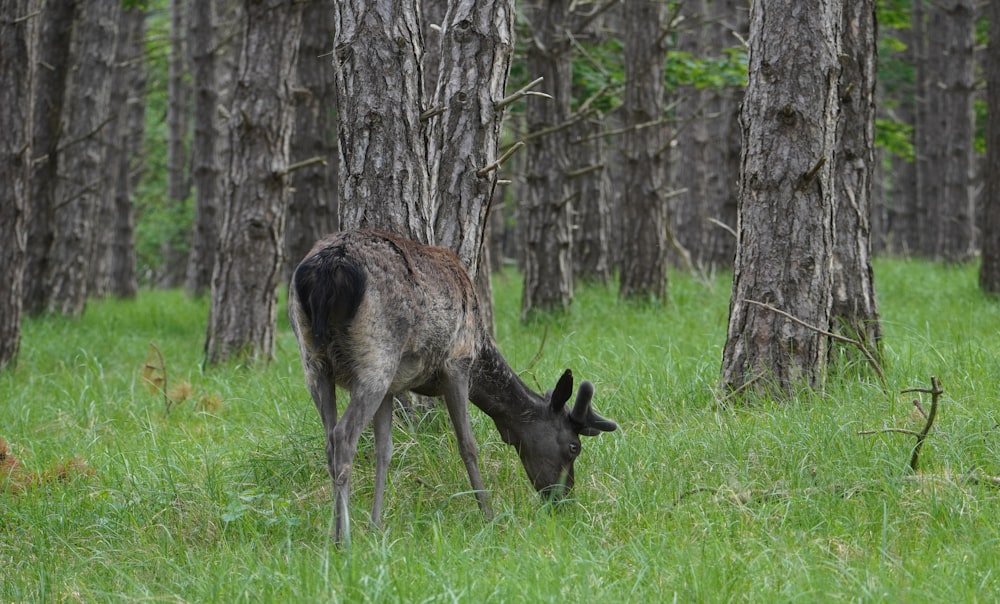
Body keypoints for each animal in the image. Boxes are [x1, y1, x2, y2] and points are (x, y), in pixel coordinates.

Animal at [288, 229, 616, 544]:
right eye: (574, 447)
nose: (563, 500)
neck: (481, 343)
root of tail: (328, 270)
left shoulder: (393, 387)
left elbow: (385, 450)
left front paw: (375, 526)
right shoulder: (457, 361)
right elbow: (468, 445)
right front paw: (489, 515)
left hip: (314, 362)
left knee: (329, 439)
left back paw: (335, 533)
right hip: (377, 355)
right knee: (343, 436)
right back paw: (343, 541)